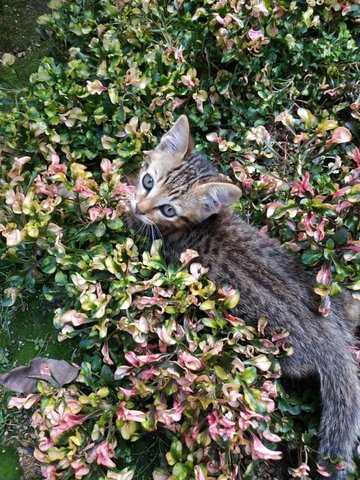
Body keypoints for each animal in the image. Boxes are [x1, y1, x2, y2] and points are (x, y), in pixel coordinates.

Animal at [129, 114, 360, 478]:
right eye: (148, 180)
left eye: (168, 210)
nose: (139, 206)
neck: (201, 224)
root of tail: (334, 344)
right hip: (330, 294)